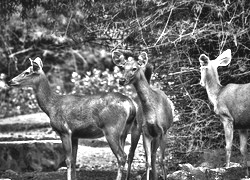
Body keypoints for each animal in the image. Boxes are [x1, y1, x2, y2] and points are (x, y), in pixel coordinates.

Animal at [8, 57, 137, 180]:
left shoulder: (64, 131)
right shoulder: (75, 135)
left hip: (111, 129)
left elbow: (68, 160)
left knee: (122, 156)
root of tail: (130, 104)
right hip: (124, 130)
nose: (10, 81)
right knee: (127, 154)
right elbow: (74, 160)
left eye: (27, 72)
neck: (51, 107)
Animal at [112, 49, 174, 180]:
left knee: (154, 156)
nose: (121, 80)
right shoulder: (146, 132)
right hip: (136, 127)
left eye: (134, 68)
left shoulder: (163, 131)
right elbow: (147, 162)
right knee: (131, 154)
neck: (152, 114)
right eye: (122, 67)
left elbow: (162, 160)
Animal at [199, 48, 250, 176]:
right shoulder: (243, 125)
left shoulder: (227, 118)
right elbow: (243, 149)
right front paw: (247, 173)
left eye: (201, 68)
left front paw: (227, 167)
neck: (217, 95)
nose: (201, 83)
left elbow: (228, 146)